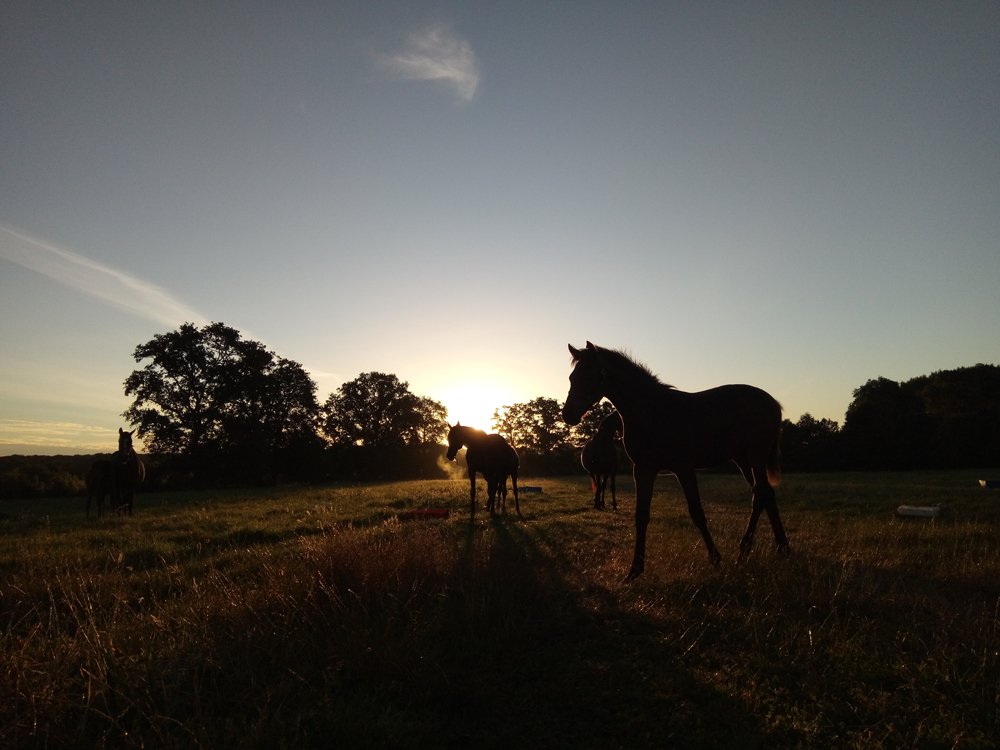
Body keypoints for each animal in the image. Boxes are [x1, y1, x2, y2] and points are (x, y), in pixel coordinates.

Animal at [563, 342, 789, 580]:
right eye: (572, 377)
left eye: (589, 376)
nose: (568, 415)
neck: (653, 412)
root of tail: (773, 403)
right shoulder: (643, 470)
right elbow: (641, 516)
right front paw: (634, 570)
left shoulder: (683, 468)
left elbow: (697, 513)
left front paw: (716, 559)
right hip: (744, 461)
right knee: (766, 495)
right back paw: (780, 549)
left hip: (755, 459)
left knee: (760, 495)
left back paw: (746, 551)